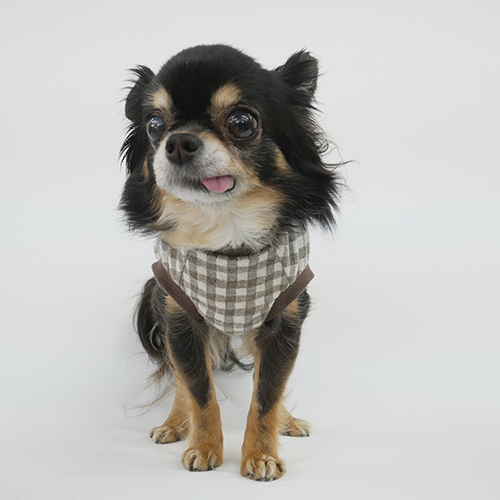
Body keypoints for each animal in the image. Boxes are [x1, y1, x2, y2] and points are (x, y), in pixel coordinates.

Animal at [120, 44, 340, 481]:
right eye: (154, 125)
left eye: (241, 123)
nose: (177, 142)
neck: (228, 233)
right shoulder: (181, 323)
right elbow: (199, 392)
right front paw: (204, 446)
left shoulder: (284, 324)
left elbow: (267, 393)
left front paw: (261, 453)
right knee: (183, 384)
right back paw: (175, 423)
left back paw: (287, 420)